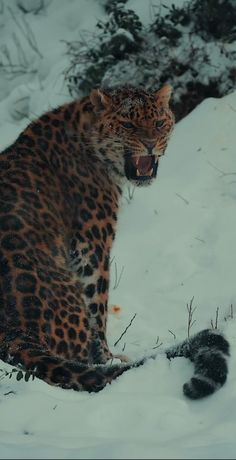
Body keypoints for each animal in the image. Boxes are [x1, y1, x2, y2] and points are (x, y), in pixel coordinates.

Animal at [0, 85, 229, 398]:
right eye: (128, 125)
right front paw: (107, 357)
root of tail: (14, 332)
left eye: (159, 123)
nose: (150, 144)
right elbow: (99, 305)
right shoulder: (91, 244)